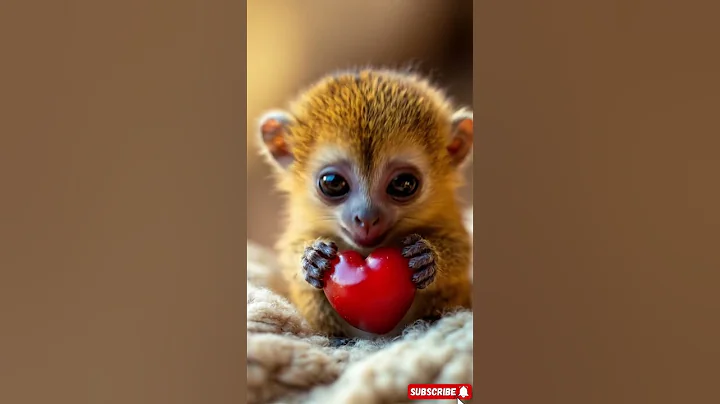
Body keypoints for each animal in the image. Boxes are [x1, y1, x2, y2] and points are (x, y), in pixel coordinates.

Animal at [256, 67, 473, 341]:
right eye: (333, 183)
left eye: (403, 183)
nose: (367, 217)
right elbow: (288, 254)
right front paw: (312, 258)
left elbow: (462, 248)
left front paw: (426, 257)